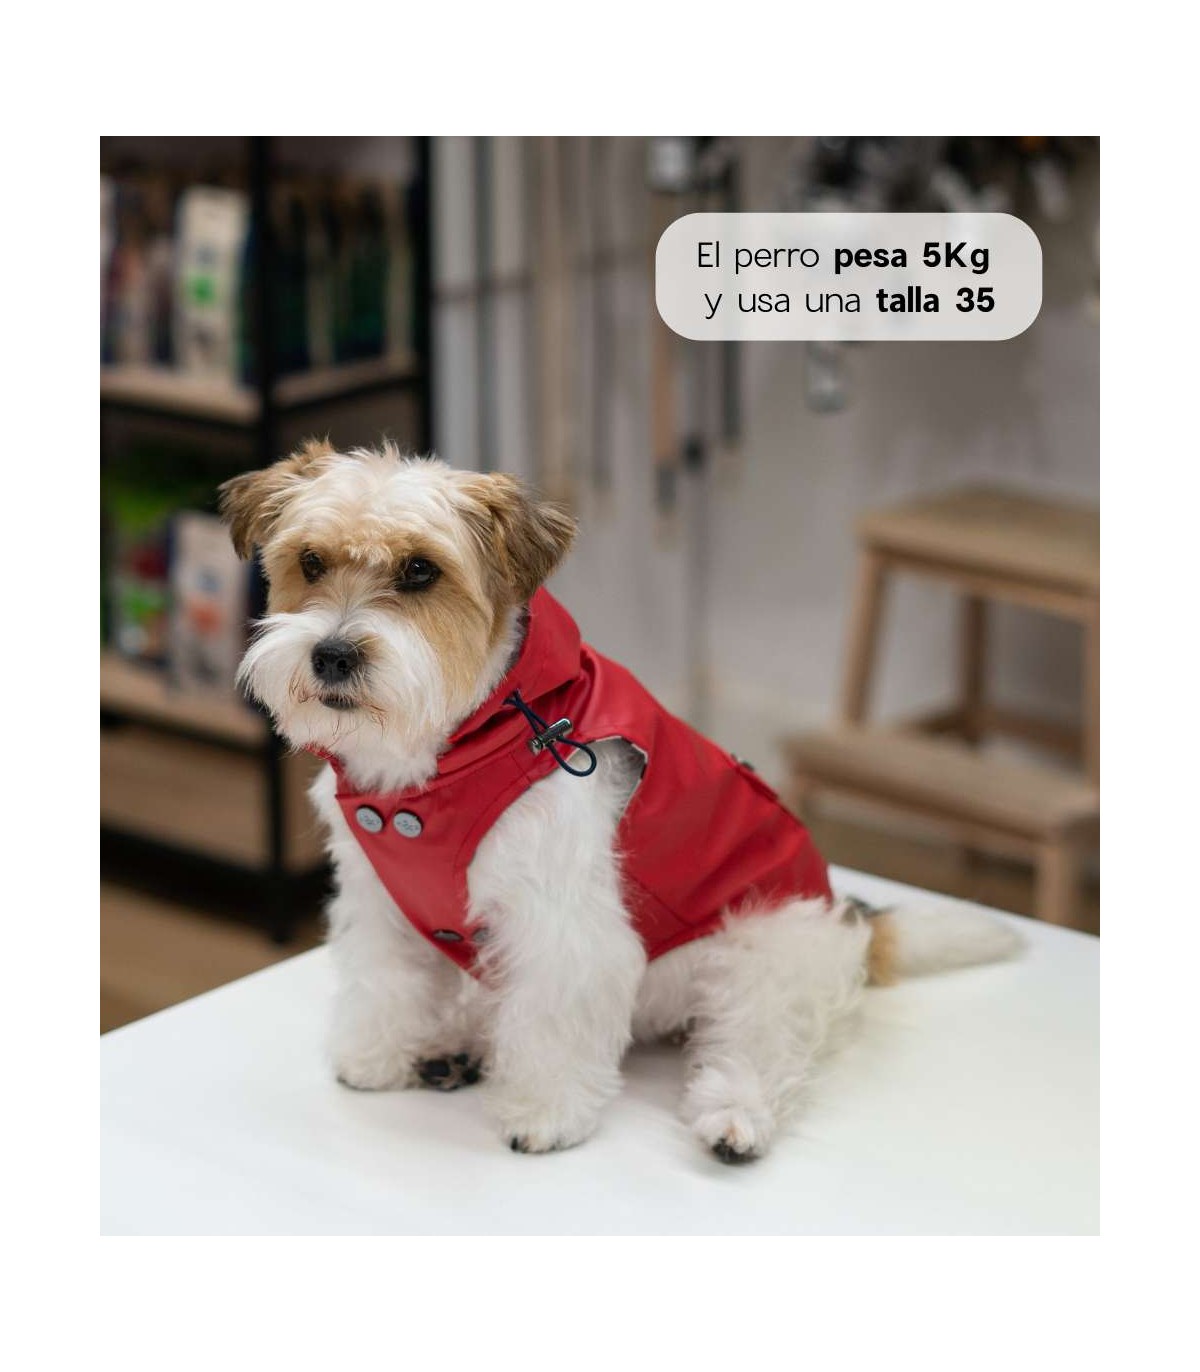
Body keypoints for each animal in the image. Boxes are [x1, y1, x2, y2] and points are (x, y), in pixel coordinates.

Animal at [220, 441, 1021, 1162]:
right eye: (310, 562)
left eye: (421, 569)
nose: (332, 655)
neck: (441, 760)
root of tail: (852, 916)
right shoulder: (381, 897)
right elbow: (384, 980)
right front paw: (379, 1055)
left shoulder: (564, 927)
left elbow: (549, 1019)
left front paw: (543, 1113)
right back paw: (457, 1047)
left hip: (764, 953)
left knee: (759, 1042)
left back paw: (735, 1115)